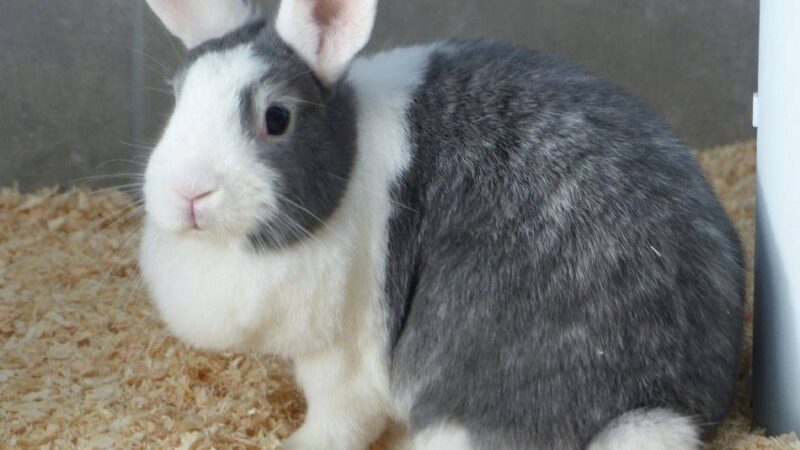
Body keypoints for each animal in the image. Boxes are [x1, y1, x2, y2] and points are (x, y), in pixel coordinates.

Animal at [138, 0, 744, 449]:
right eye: (176, 99)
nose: (188, 193)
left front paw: (295, 444)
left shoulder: (347, 357)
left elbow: (339, 420)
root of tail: (663, 404)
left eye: (277, 117)